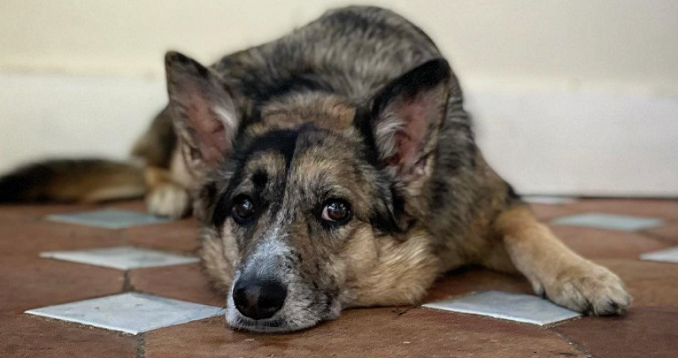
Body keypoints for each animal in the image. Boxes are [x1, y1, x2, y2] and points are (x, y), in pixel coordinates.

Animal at [0, 5, 632, 332]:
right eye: (244, 207)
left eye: (335, 210)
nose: (254, 298)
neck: (319, 96)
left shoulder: (491, 202)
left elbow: (532, 231)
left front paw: (584, 275)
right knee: (149, 161)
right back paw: (165, 194)